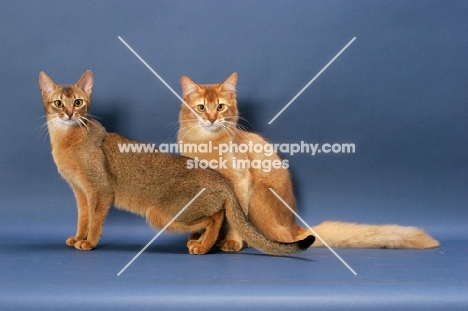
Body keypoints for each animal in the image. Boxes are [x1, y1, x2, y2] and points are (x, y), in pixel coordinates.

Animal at [37, 70, 314, 256]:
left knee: (216, 217)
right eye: (58, 103)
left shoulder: (100, 190)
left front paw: (89, 242)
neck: (67, 140)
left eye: (78, 102)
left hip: (161, 214)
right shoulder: (81, 192)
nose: (69, 114)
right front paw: (77, 237)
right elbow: (83, 219)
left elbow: (94, 221)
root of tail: (220, 180)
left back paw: (204, 245)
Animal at [177, 73, 440, 254]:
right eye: (201, 108)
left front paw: (230, 241)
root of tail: (296, 227)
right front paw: (200, 239)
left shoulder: (240, 183)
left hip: (260, 197)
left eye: (220, 107)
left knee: (282, 239)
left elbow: (234, 219)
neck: (205, 144)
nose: (212, 119)